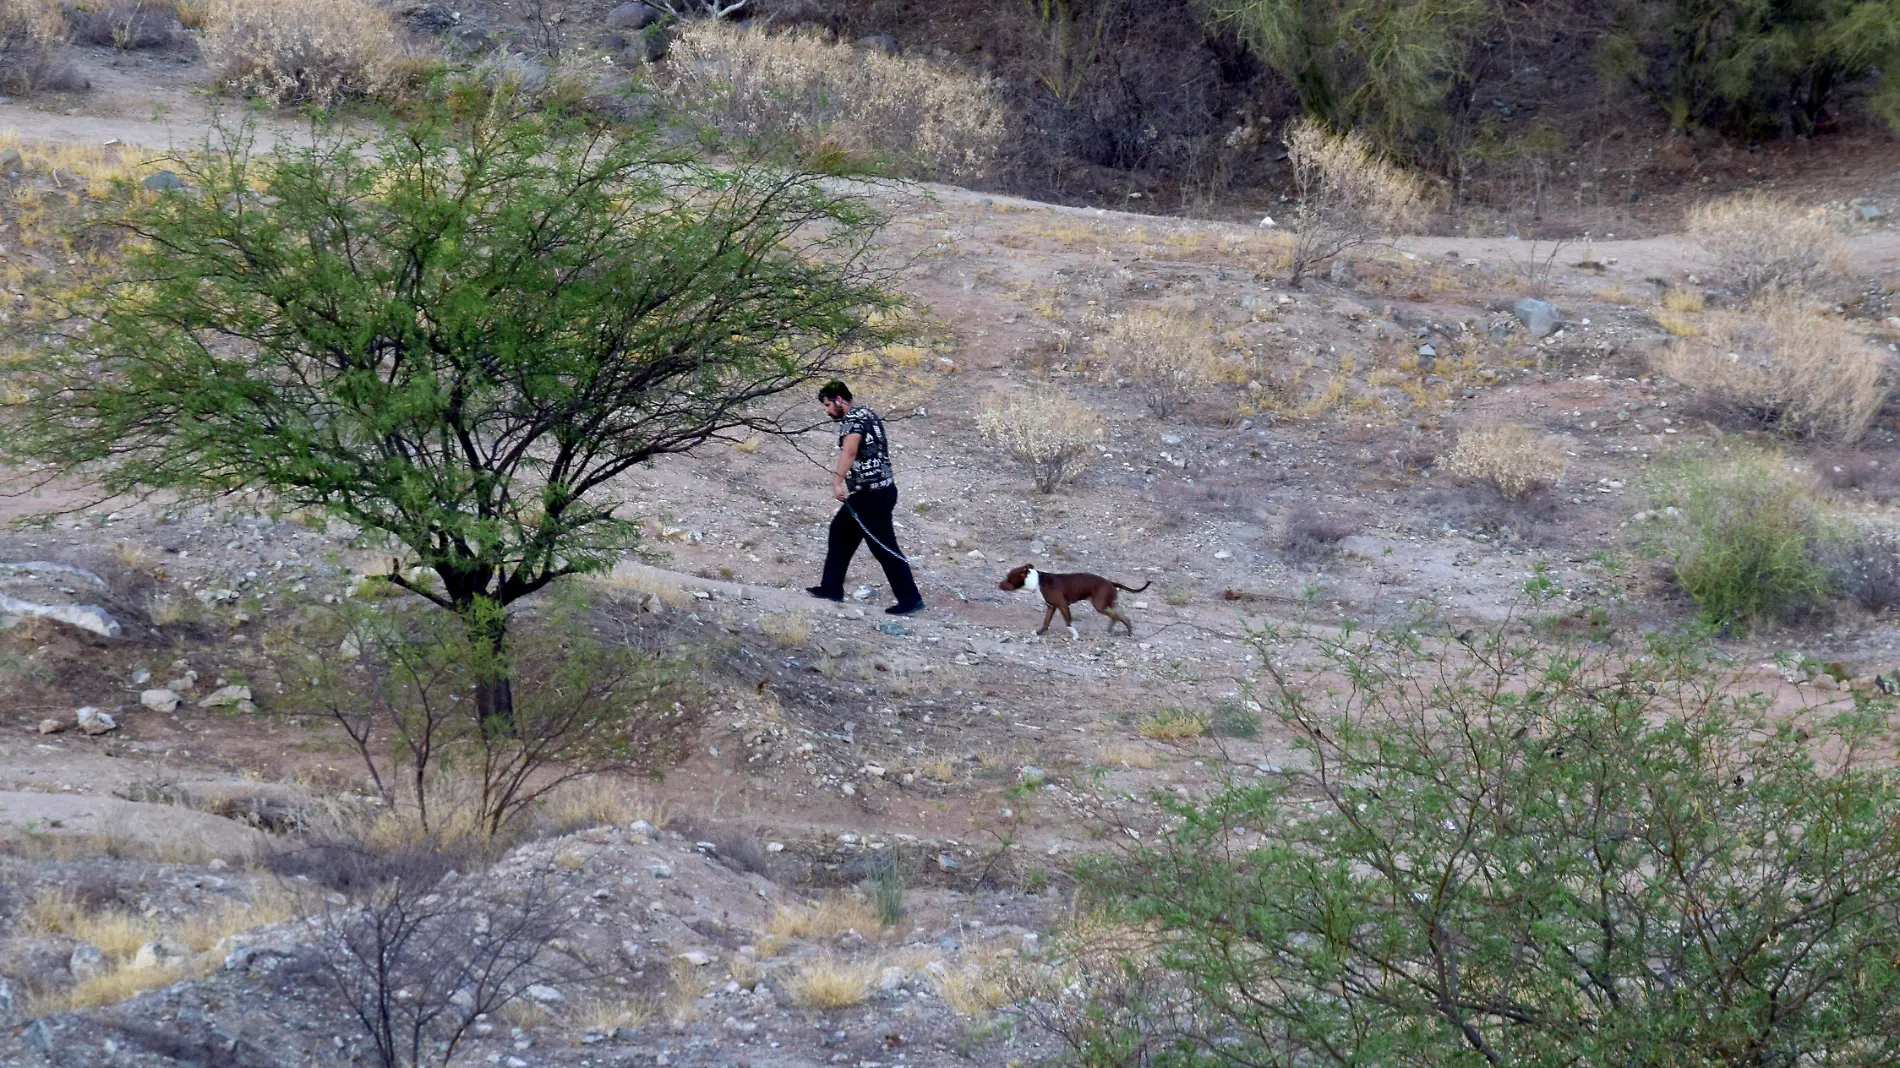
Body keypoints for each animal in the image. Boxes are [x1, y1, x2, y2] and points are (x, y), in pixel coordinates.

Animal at [1003, 562, 1147, 634]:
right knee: (1117, 616)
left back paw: (1128, 632)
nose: (999, 584)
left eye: (1009, 578)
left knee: (1121, 617)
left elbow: (1068, 622)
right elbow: (1046, 621)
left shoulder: (1062, 605)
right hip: (1106, 604)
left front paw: (1074, 635)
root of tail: (1111, 583)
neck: (1037, 580)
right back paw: (1111, 630)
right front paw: (1040, 632)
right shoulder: (1051, 607)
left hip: (1100, 605)